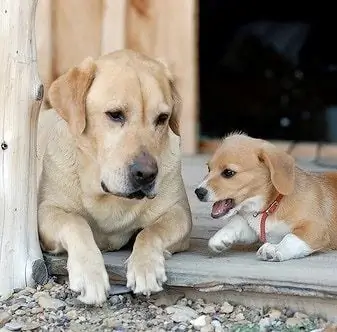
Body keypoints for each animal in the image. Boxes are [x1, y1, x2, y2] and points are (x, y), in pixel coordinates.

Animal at [194, 132, 336, 262]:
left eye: (228, 172)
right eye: (208, 168)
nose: (198, 192)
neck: (269, 207)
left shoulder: (316, 227)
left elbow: (290, 238)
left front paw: (275, 249)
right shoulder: (254, 230)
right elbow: (237, 222)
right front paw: (221, 236)